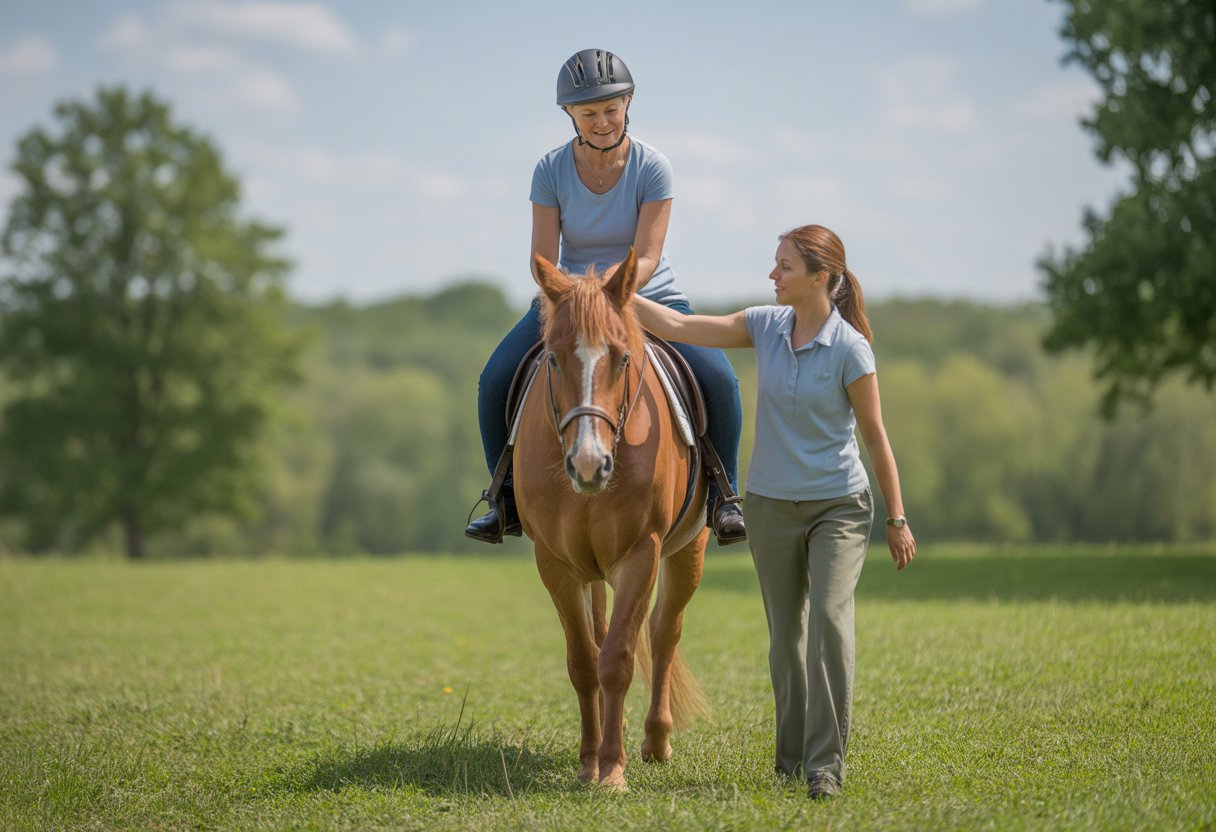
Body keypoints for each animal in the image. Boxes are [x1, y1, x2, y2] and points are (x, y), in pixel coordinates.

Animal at [512, 250, 710, 790]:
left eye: (622, 358)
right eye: (553, 358)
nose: (588, 464)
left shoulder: (640, 554)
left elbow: (619, 658)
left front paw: (613, 771)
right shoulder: (555, 562)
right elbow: (584, 662)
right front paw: (589, 762)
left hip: (688, 550)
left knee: (664, 633)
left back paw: (656, 742)